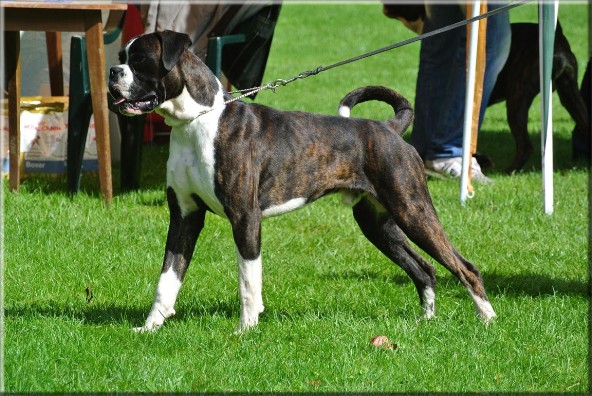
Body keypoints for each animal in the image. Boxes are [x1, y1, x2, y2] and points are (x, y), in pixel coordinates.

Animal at [107, 31, 494, 334]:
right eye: (121, 57)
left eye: (140, 60)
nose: (113, 71)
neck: (197, 121)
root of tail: (389, 127)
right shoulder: (184, 217)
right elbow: (168, 278)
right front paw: (150, 326)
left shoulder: (245, 219)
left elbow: (248, 280)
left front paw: (246, 330)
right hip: (379, 223)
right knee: (425, 269)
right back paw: (425, 321)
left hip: (412, 210)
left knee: (465, 267)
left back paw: (487, 319)